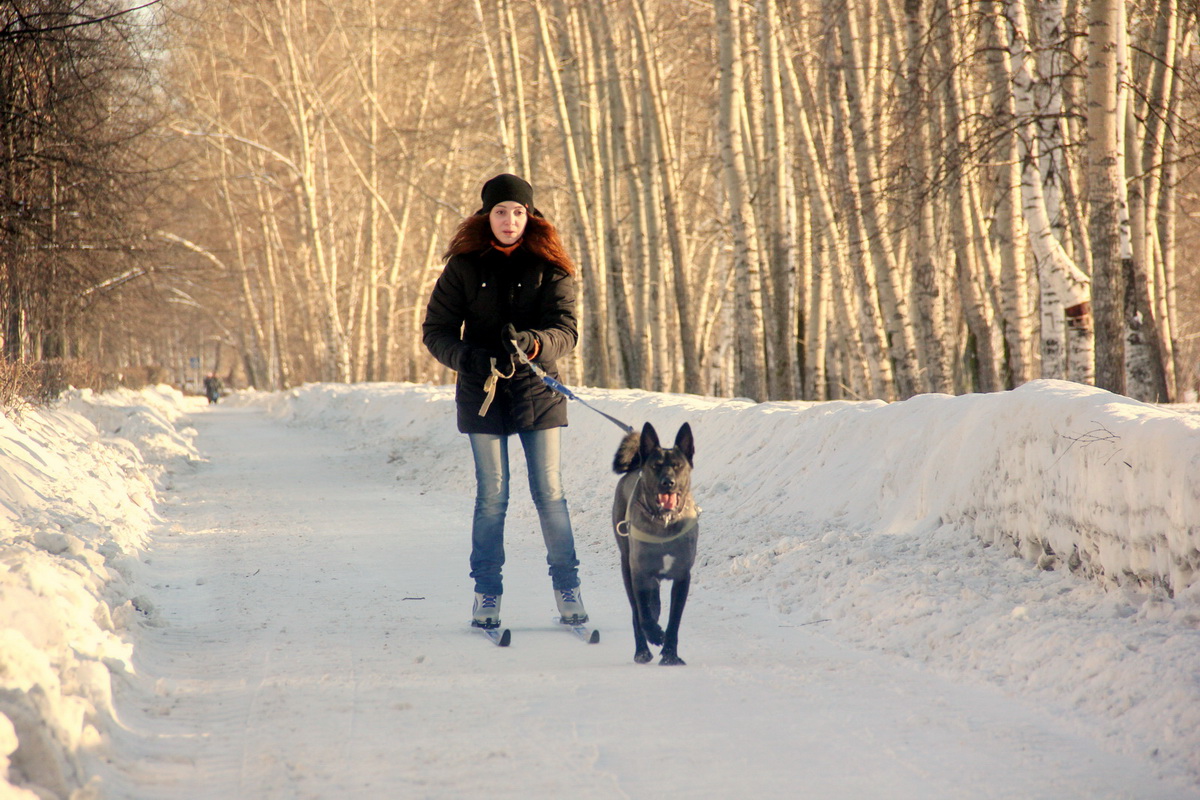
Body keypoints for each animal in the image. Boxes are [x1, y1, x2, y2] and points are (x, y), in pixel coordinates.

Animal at [614, 422, 700, 666]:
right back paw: (642, 651)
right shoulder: (639, 572)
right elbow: (642, 614)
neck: (665, 521)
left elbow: (674, 621)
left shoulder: (682, 576)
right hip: (626, 566)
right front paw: (655, 635)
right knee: (637, 612)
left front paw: (671, 654)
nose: (668, 483)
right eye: (655, 466)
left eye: (678, 466)